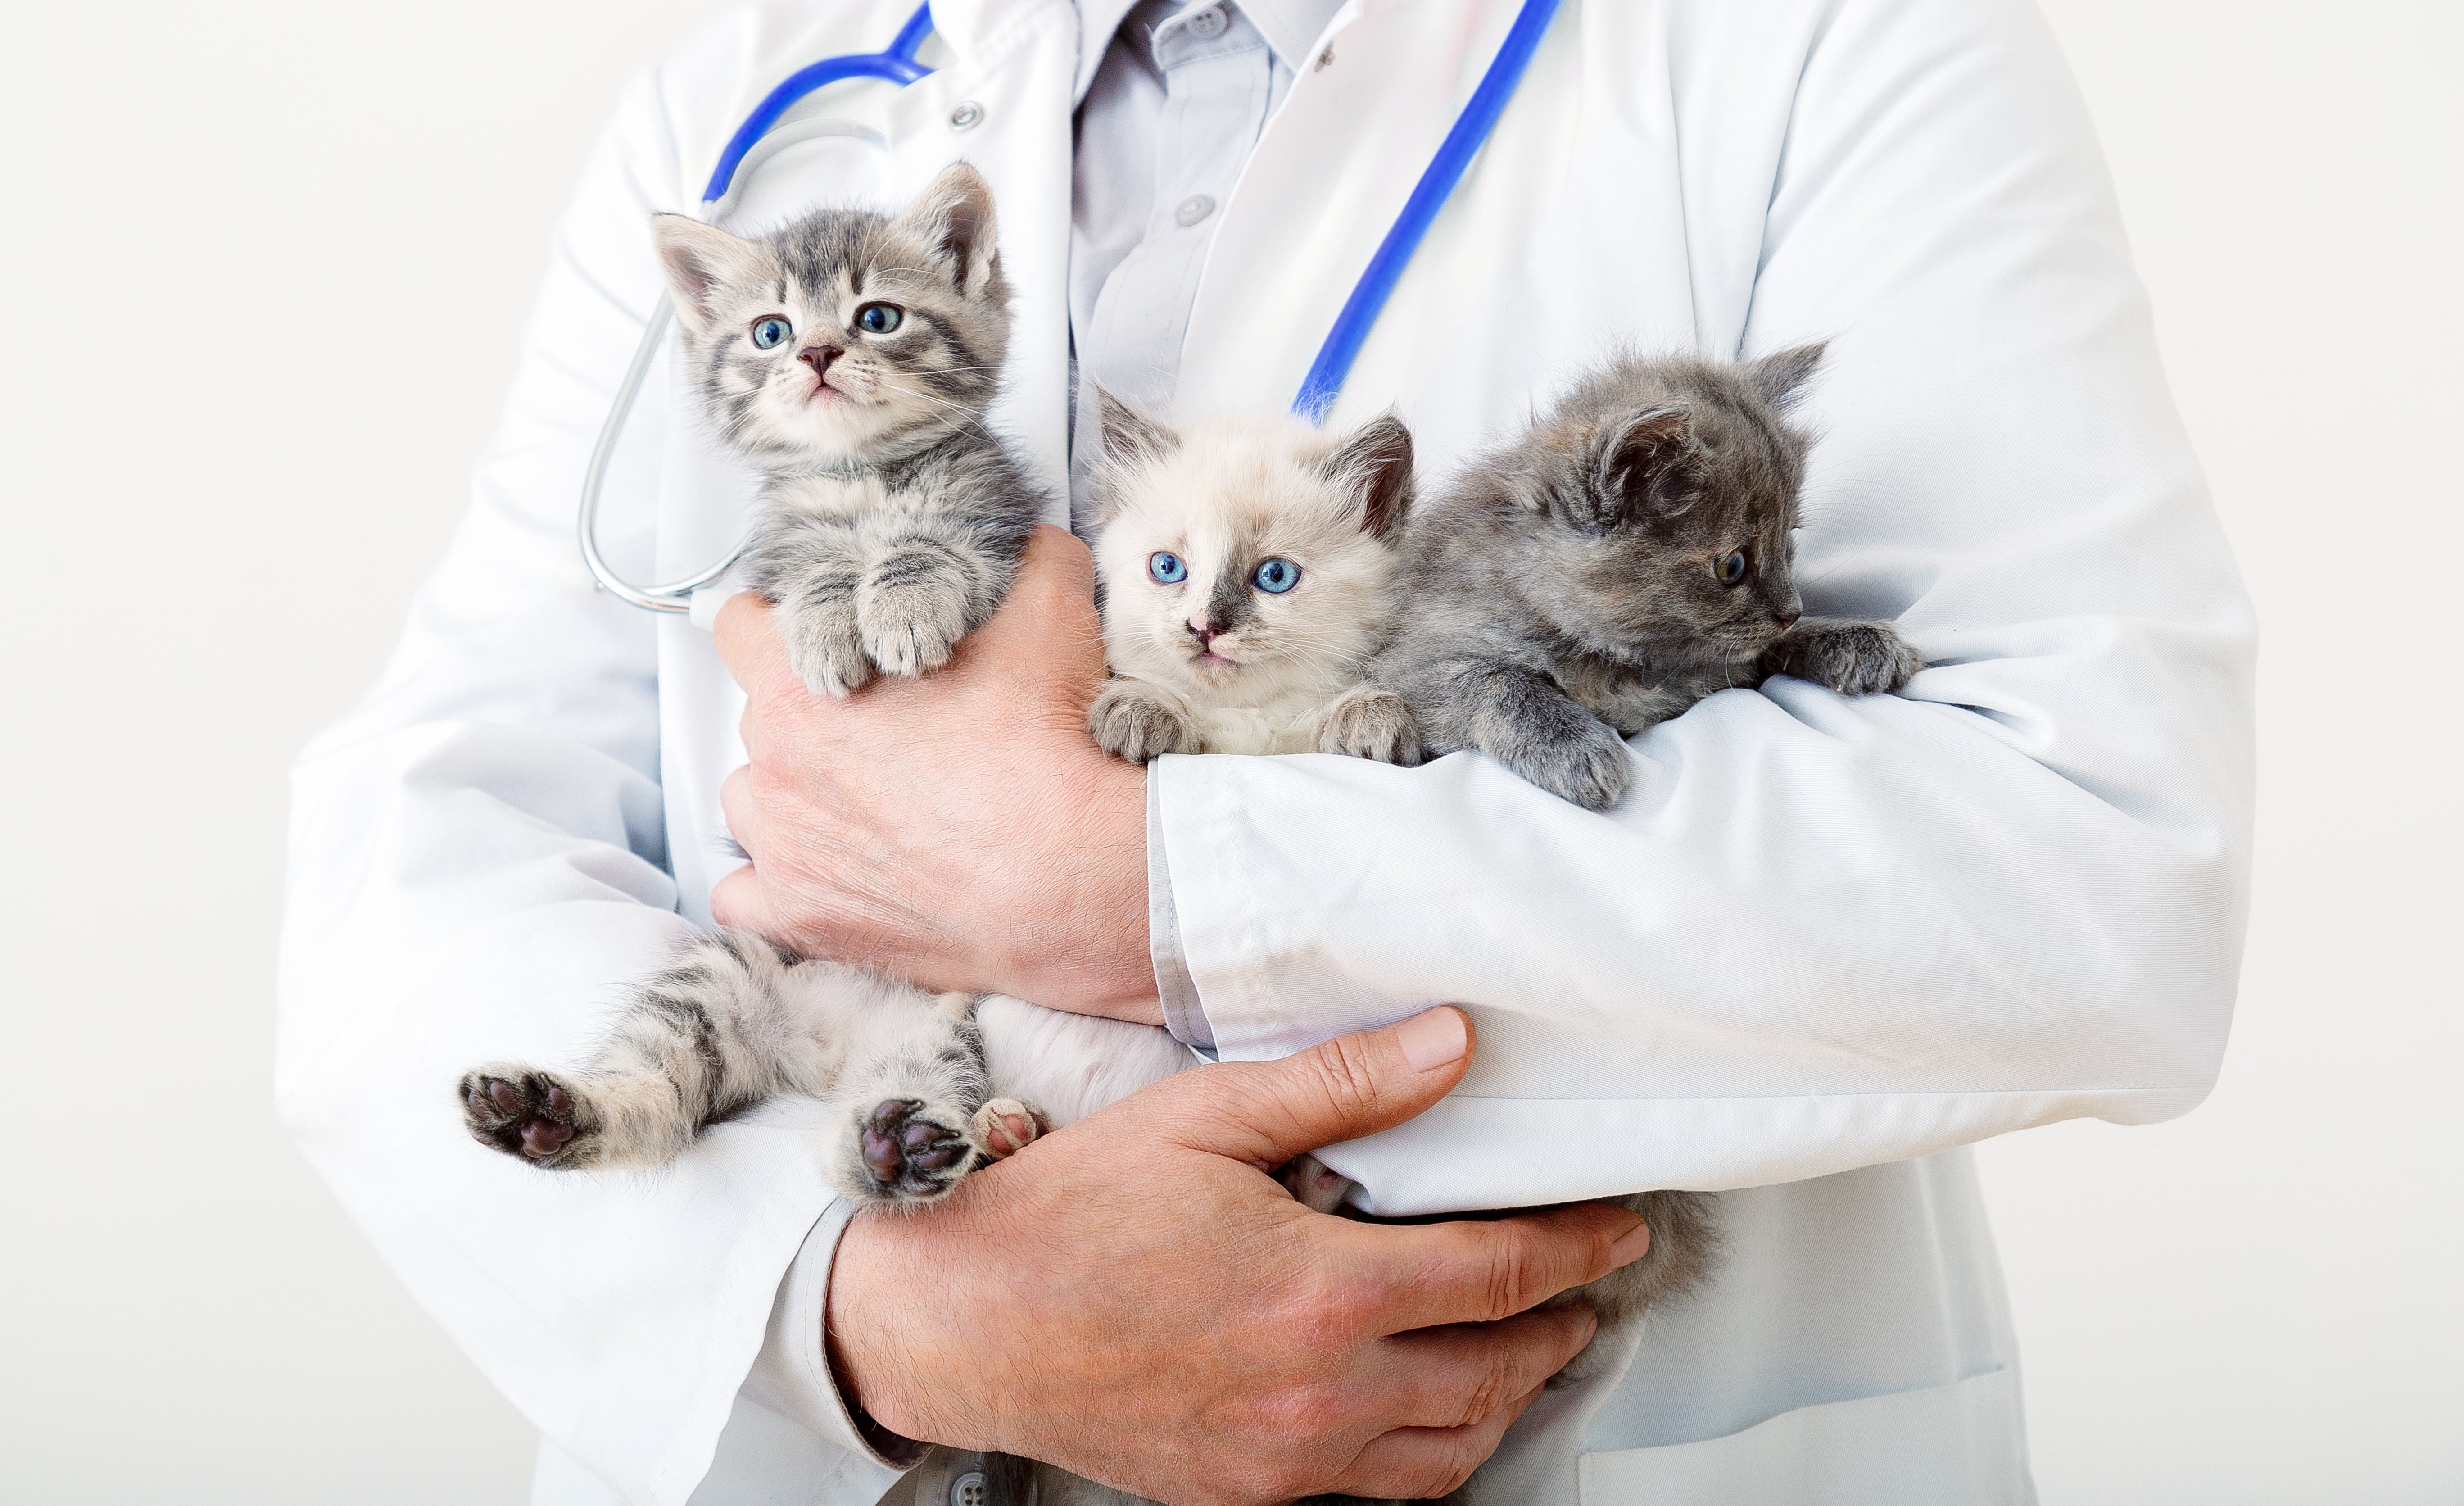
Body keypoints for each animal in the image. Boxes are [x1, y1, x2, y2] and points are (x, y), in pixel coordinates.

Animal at [1084, 392, 1419, 764]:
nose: (1204, 627)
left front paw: (1367, 716)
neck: (1245, 718)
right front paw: (1142, 706)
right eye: (1167, 567)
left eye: (1275, 575)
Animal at [1370, 345, 1922, 813]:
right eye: (1733, 567)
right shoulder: (1411, 663)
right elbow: (1498, 680)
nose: (1793, 610)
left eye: (1789, 543)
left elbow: (1757, 651)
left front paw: (1852, 639)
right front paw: (1573, 748)